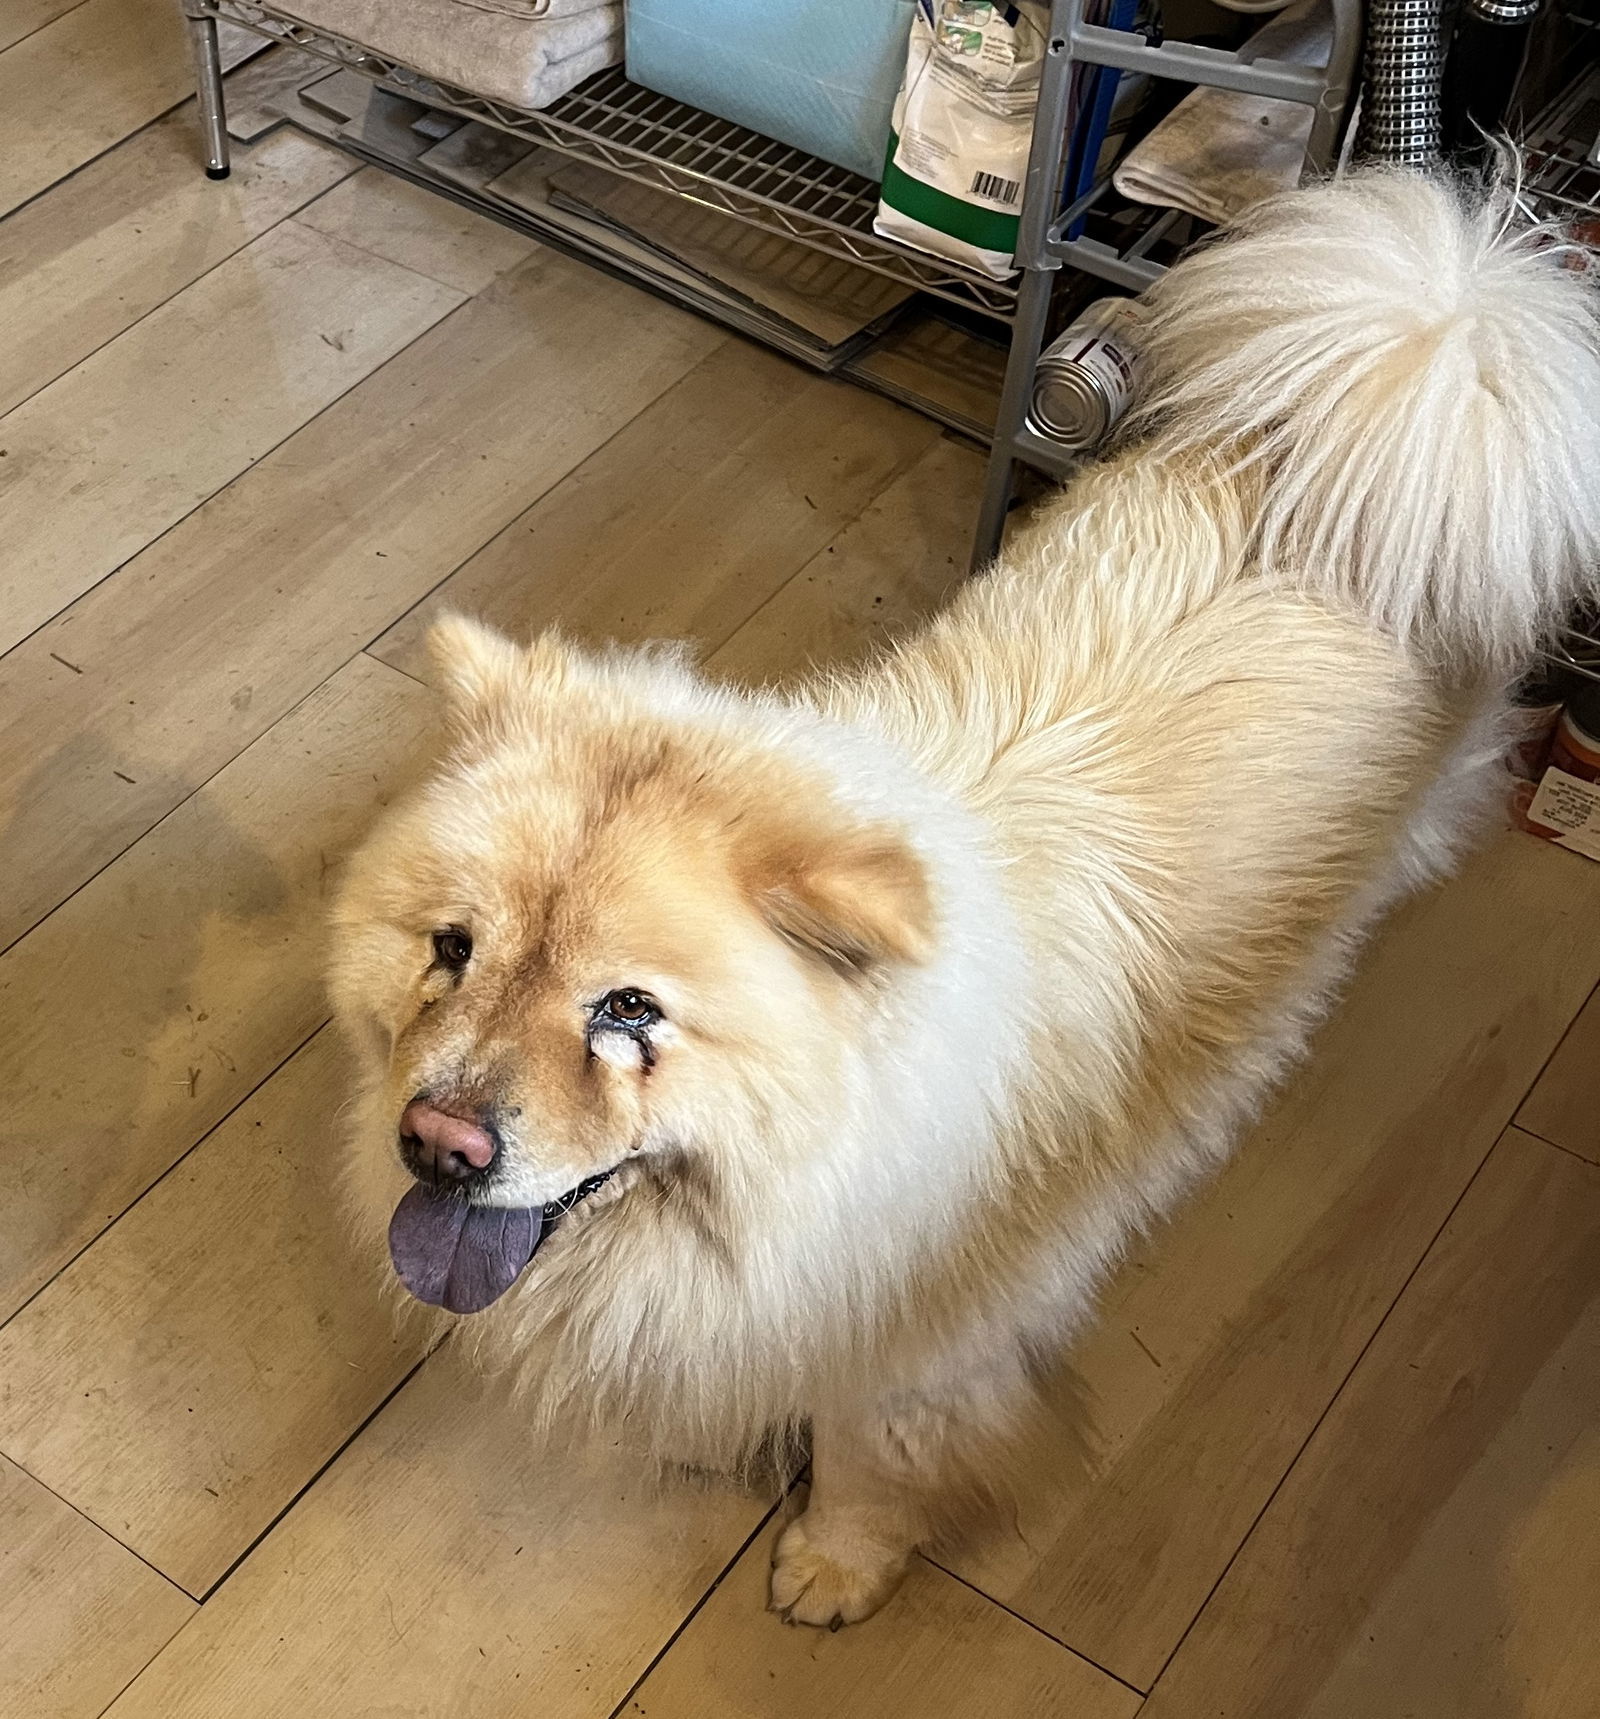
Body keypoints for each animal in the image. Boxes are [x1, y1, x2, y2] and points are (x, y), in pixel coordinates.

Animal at [328, 171, 1600, 1622]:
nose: (438, 1142)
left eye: (630, 1012)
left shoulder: (919, 1344)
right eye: (452, 948)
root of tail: (1435, 330)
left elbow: (869, 1456)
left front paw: (835, 1565)